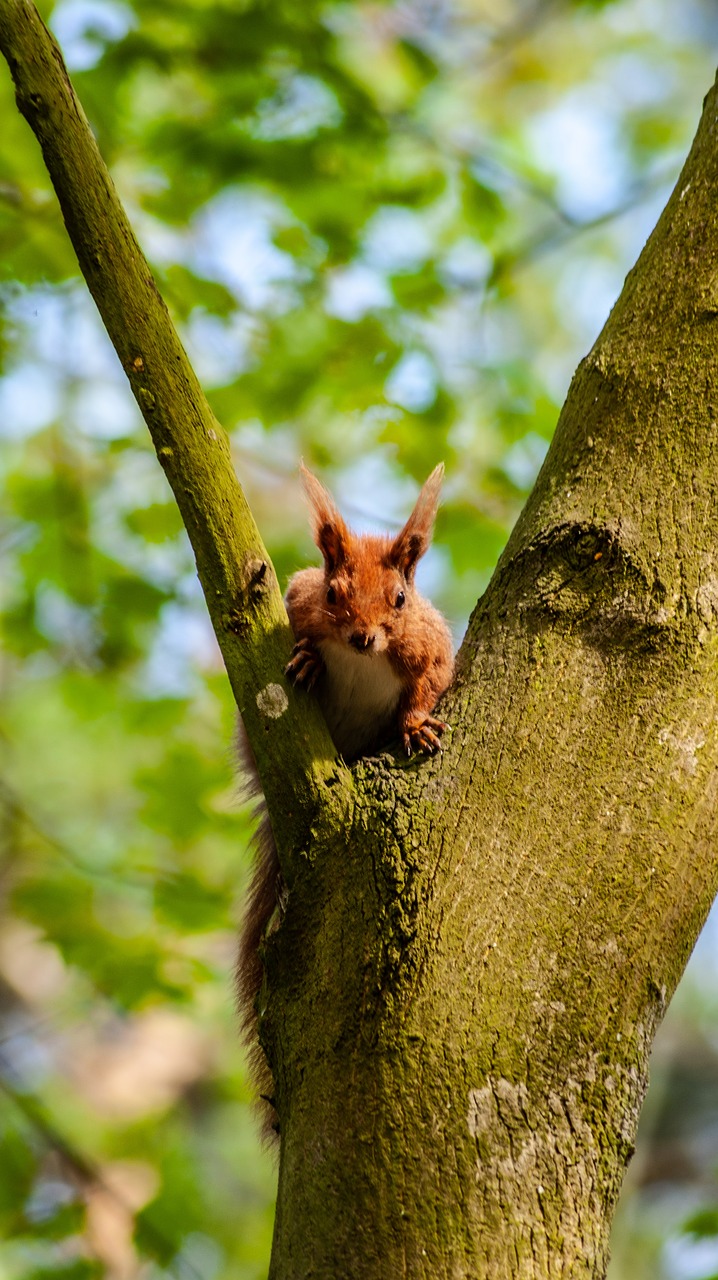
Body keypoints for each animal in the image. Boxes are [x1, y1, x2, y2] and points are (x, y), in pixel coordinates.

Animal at [236, 465, 453, 1136]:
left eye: (401, 600)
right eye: (334, 593)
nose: (362, 637)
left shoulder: (430, 647)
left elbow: (430, 682)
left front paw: (415, 726)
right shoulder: (296, 603)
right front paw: (307, 658)